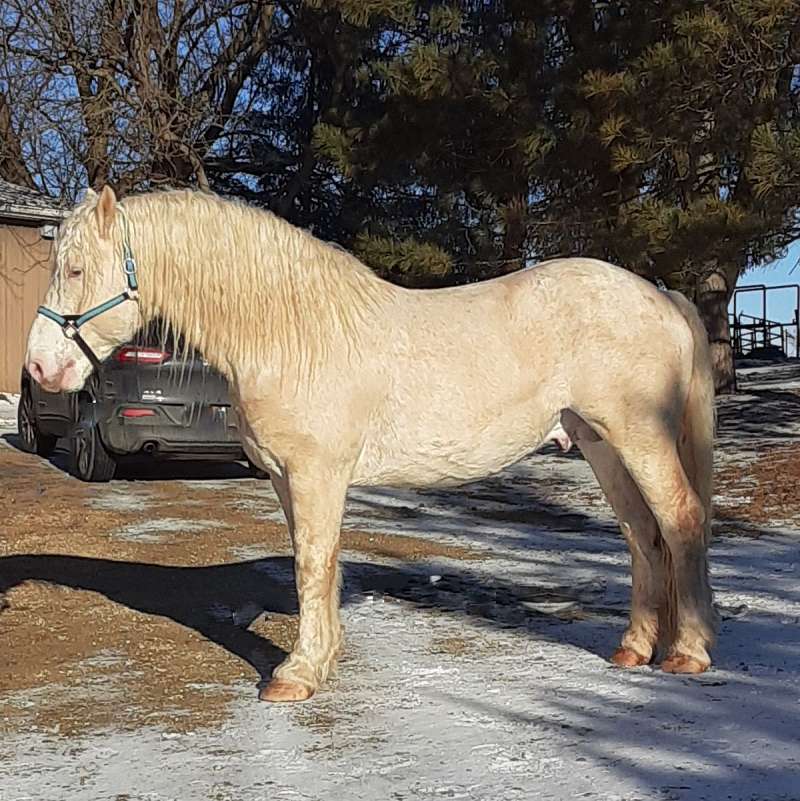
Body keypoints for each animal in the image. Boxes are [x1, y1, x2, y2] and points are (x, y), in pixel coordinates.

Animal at [24, 186, 718, 703]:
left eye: (76, 269)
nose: (39, 368)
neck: (294, 330)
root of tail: (660, 295)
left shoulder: (316, 473)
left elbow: (312, 563)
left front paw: (295, 676)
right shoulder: (287, 477)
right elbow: (318, 563)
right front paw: (323, 660)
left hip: (639, 435)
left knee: (680, 519)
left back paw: (687, 654)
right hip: (599, 443)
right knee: (642, 534)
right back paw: (632, 648)